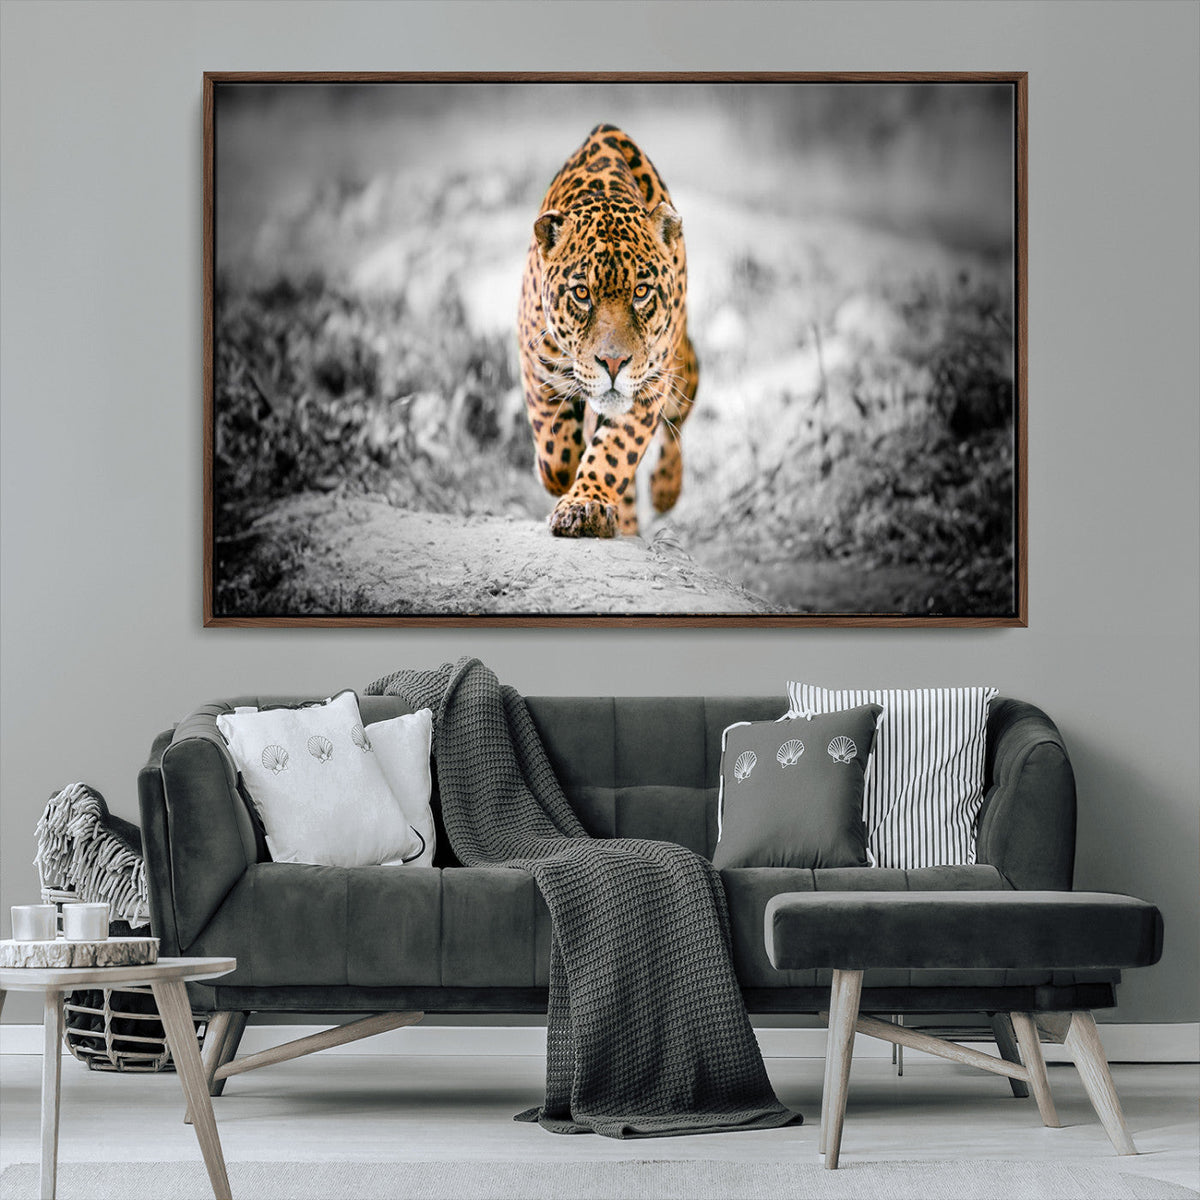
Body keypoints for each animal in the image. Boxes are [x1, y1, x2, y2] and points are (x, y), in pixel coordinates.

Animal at [517, 124, 700, 538]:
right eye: (582, 294)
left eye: (641, 292)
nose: (613, 363)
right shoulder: (536, 361)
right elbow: (555, 451)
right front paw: (561, 477)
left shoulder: (650, 384)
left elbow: (614, 451)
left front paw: (584, 505)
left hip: (681, 367)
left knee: (679, 418)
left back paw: (664, 490)